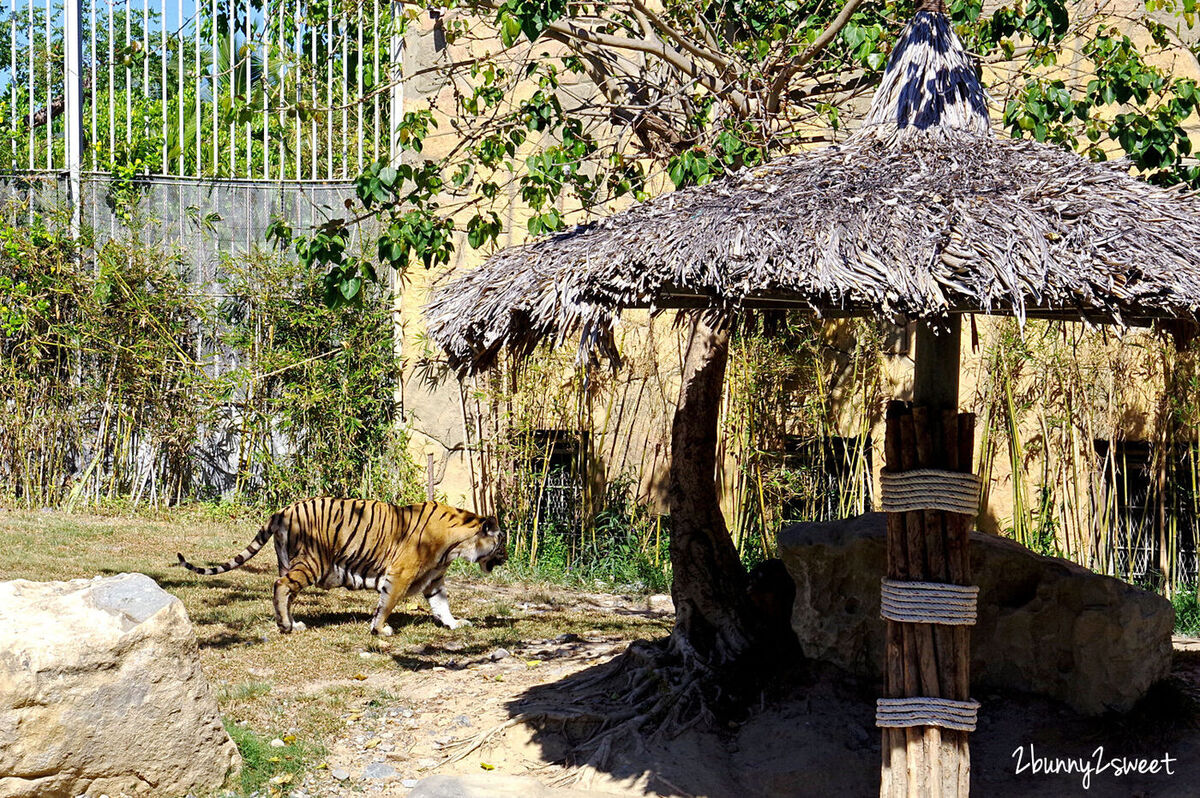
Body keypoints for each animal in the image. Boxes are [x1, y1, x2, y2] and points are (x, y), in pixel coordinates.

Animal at [175, 499, 506, 633]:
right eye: (501, 543)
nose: (503, 560)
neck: (456, 546)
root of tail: (283, 510)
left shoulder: (434, 579)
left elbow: (442, 605)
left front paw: (455, 624)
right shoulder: (400, 574)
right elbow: (386, 604)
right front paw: (380, 630)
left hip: (289, 561)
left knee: (285, 592)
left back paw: (291, 623)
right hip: (312, 562)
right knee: (281, 586)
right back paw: (286, 627)